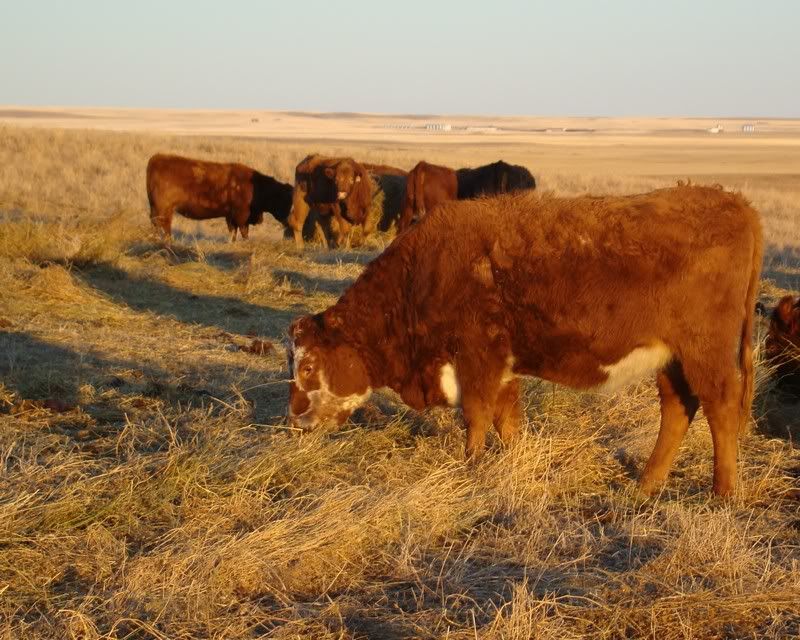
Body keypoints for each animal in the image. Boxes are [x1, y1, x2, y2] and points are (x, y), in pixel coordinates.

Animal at [146, 154, 293, 241]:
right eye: (284, 200)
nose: (288, 221)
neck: (255, 186)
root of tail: (157, 158)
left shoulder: (230, 217)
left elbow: (233, 232)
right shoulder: (241, 216)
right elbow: (244, 232)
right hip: (164, 211)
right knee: (164, 226)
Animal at [285, 185, 763, 496]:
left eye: (307, 366)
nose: (295, 423)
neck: (421, 274)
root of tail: (733, 202)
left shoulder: (477, 356)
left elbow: (476, 416)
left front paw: (471, 466)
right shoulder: (501, 364)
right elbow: (506, 419)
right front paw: (514, 460)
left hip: (706, 352)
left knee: (720, 408)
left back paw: (724, 493)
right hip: (672, 358)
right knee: (678, 408)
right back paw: (646, 485)